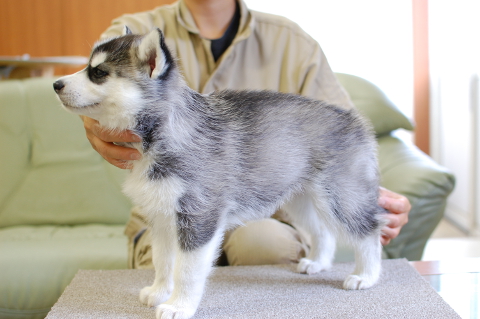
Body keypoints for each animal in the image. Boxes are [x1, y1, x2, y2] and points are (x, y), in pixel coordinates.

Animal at [53, 27, 386, 319]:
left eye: (99, 73)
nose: (55, 84)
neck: (165, 131)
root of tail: (353, 117)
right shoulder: (162, 217)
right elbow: (163, 260)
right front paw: (160, 292)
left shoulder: (198, 216)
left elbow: (186, 270)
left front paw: (179, 306)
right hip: (300, 199)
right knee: (322, 230)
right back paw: (318, 262)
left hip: (342, 197)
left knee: (368, 233)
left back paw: (366, 276)